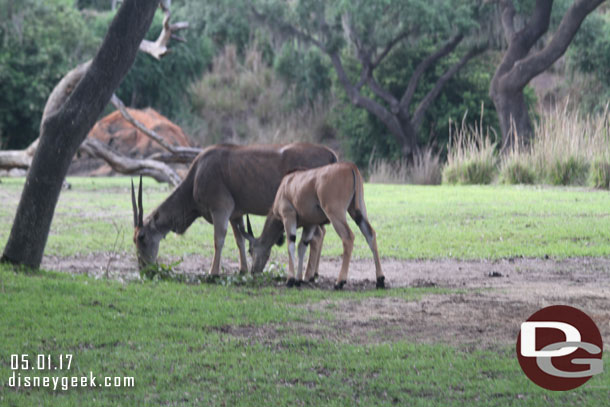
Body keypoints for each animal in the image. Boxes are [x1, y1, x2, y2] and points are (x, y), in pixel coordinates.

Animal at [131, 143, 338, 278]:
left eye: (141, 237)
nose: (144, 269)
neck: (196, 175)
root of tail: (330, 154)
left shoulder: (221, 209)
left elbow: (219, 240)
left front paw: (213, 273)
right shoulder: (236, 215)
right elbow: (239, 240)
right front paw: (242, 270)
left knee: (317, 236)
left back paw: (309, 275)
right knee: (320, 234)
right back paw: (313, 273)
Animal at [236, 162, 382, 290]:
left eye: (250, 250)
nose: (253, 271)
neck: (286, 186)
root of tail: (351, 166)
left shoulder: (288, 216)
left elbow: (291, 244)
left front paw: (290, 280)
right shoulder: (310, 223)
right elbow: (302, 246)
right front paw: (298, 280)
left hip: (335, 214)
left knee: (348, 237)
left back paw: (339, 282)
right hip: (358, 212)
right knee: (370, 235)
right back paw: (380, 280)